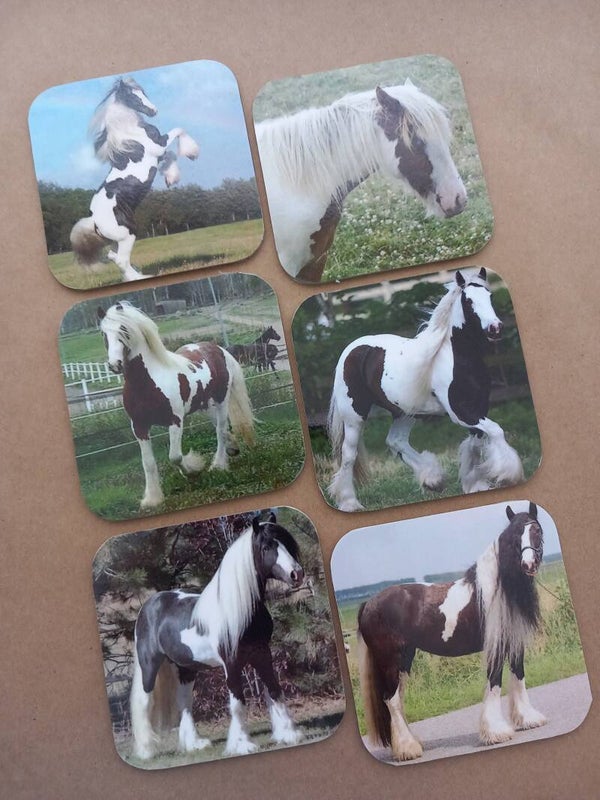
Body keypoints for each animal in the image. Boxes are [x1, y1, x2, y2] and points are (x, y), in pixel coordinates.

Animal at [71, 77, 199, 282]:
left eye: (143, 93)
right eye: (133, 97)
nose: (154, 111)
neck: (131, 133)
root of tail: (94, 222)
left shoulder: (159, 153)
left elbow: (171, 154)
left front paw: (171, 177)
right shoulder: (159, 145)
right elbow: (179, 130)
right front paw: (191, 152)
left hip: (117, 240)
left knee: (114, 257)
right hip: (128, 234)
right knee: (121, 259)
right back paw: (140, 277)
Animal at [97, 301, 254, 510]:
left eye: (124, 329)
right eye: (103, 333)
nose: (115, 364)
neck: (148, 381)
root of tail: (218, 349)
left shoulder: (175, 420)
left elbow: (175, 456)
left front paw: (193, 469)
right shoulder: (139, 426)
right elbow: (148, 463)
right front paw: (152, 498)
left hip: (221, 399)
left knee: (220, 429)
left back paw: (219, 464)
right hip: (205, 404)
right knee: (220, 427)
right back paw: (232, 449)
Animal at [130, 514, 305, 759]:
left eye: (287, 543)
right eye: (266, 546)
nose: (296, 574)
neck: (240, 611)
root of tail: (150, 604)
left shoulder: (262, 655)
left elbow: (275, 690)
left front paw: (288, 734)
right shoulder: (231, 663)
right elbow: (238, 703)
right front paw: (242, 745)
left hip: (186, 668)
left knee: (185, 703)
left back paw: (194, 744)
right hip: (149, 665)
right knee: (144, 702)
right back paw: (146, 751)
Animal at [327, 268, 524, 512]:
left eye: (490, 296)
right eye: (468, 301)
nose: (495, 329)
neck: (458, 360)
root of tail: (351, 350)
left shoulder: (478, 409)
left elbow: (476, 444)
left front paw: (475, 483)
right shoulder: (461, 413)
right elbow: (496, 431)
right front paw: (508, 474)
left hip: (404, 413)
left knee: (395, 441)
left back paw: (433, 480)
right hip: (354, 416)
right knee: (348, 454)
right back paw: (349, 502)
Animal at [357, 502, 547, 761]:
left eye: (536, 530)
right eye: (515, 536)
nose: (528, 565)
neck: (496, 591)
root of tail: (369, 603)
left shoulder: (513, 642)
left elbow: (518, 676)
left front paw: (528, 719)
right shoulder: (496, 646)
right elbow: (495, 682)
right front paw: (496, 732)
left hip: (404, 659)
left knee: (398, 698)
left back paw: (410, 742)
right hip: (389, 660)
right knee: (391, 699)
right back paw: (408, 748)